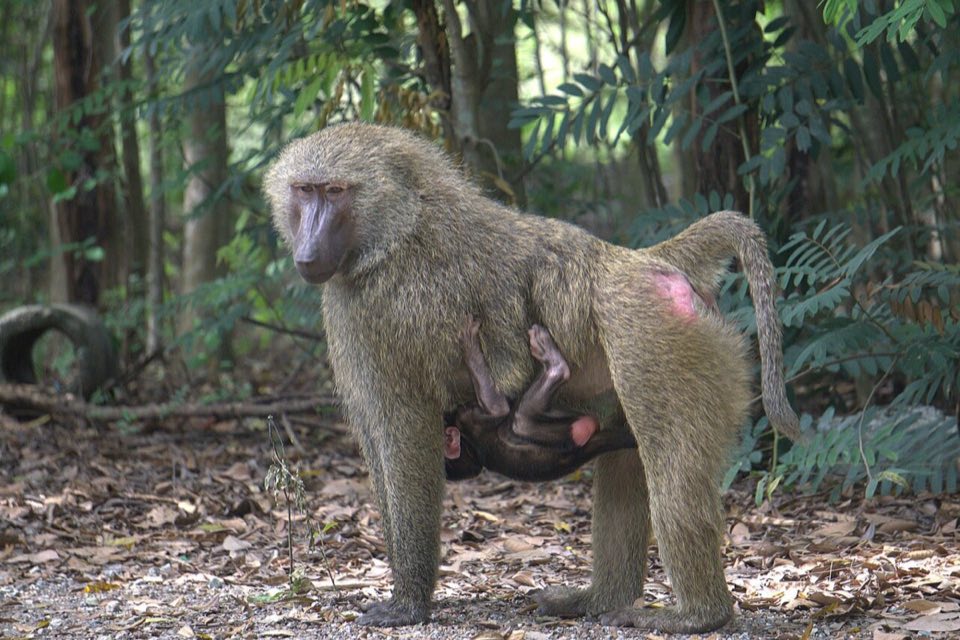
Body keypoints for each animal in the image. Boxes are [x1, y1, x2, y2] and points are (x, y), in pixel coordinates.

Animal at [443, 316, 637, 482]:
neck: (469, 448)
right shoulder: (467, 419)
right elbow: (499, 409)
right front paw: (469, 347)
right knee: (521, 422)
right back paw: (554, 363)